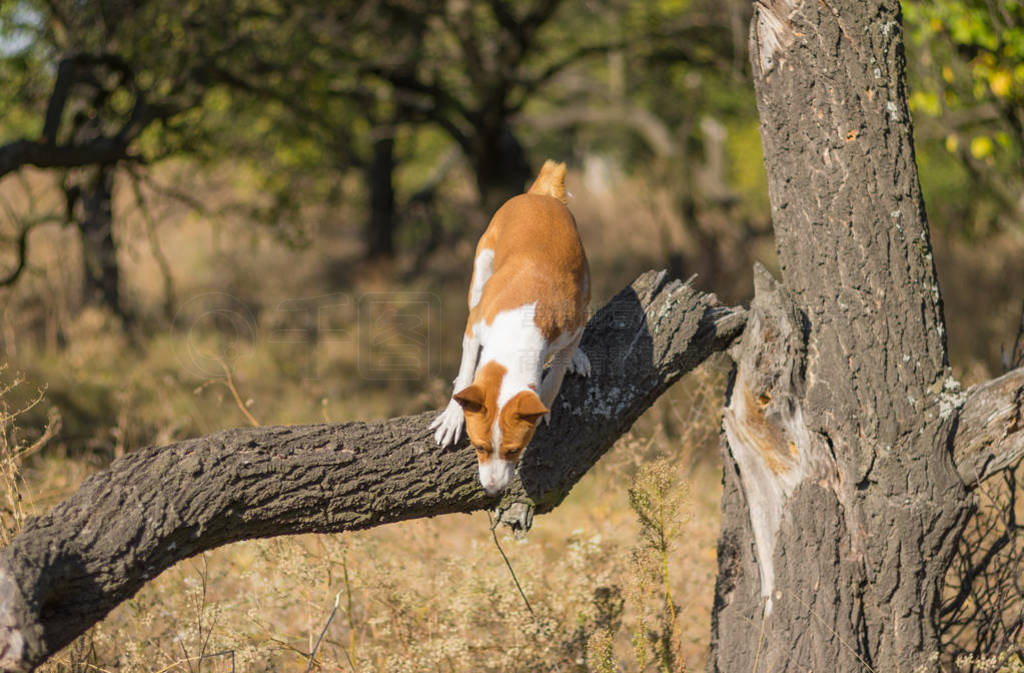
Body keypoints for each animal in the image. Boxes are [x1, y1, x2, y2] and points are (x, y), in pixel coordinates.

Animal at [432, 159, 593, 491]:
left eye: (514, 450)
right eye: (478, 447)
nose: (493, 488)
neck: (516, 335)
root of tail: (541, 196)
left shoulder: (571, 326)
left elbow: (556, 373)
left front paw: (544, 402)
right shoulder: (475, 325)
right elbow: (466, 372)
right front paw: (453, 416)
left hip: (584, 279)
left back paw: (579, 356)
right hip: (481, 268)